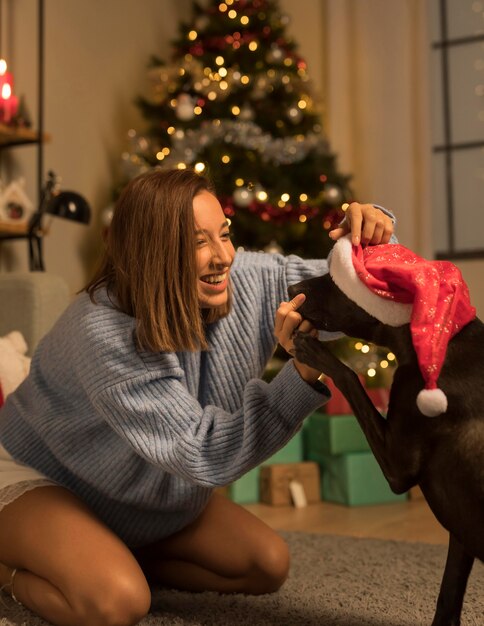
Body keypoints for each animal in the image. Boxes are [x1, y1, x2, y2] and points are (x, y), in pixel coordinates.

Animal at [290, 270, 482, 624]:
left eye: (336, 280)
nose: (291, 288)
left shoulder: (398, 468)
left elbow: (350, 375)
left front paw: (314, 352)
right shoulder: (461, 528)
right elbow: (447, 598)